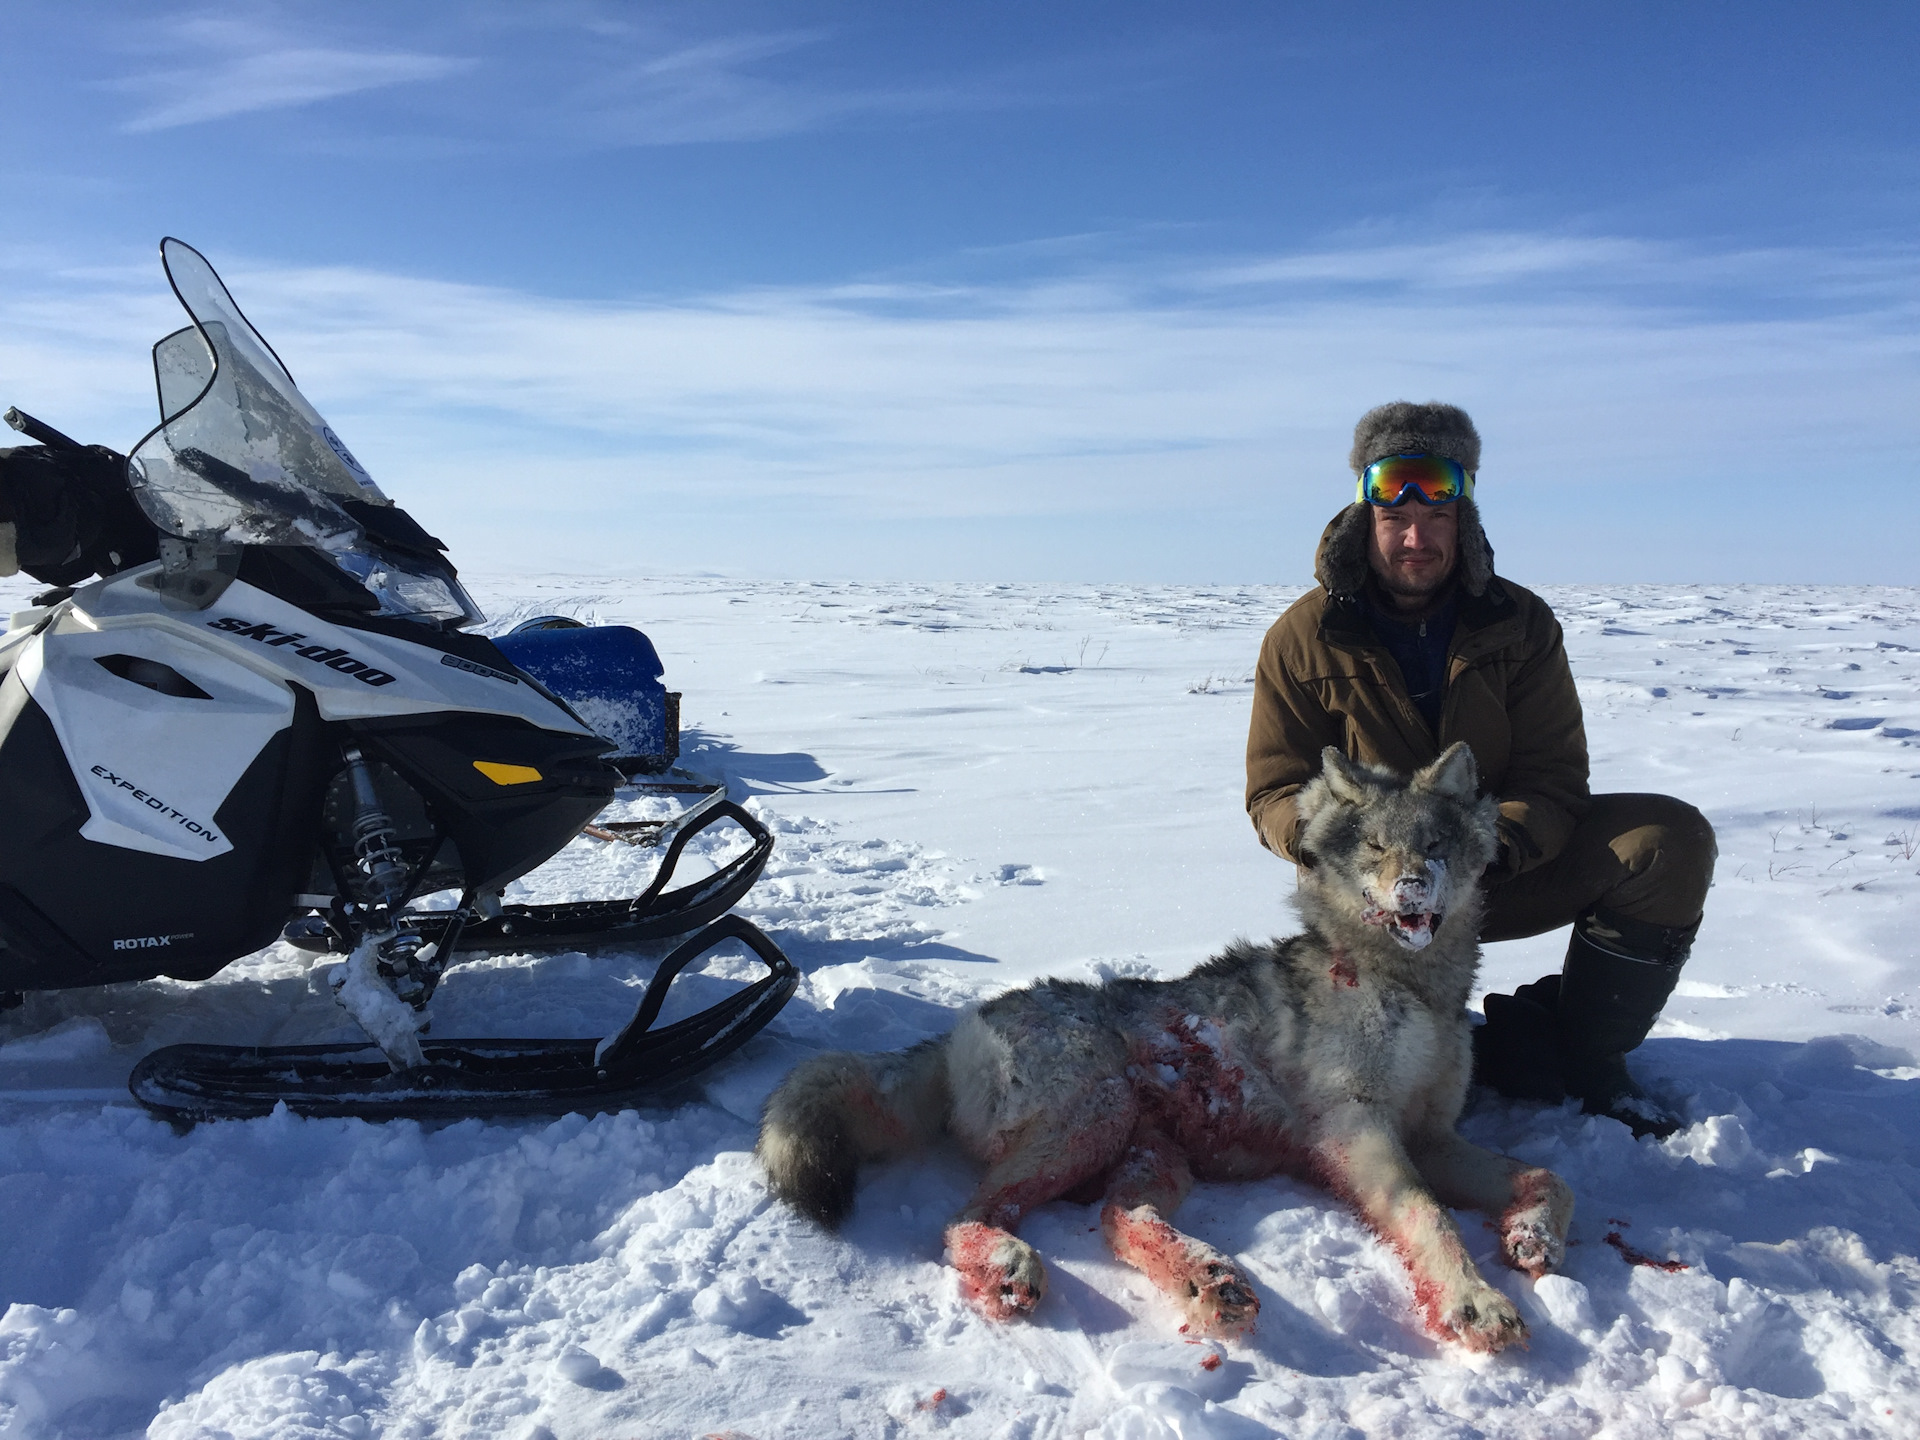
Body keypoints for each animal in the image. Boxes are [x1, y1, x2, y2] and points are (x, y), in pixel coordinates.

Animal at [752, 744, 1574, 1351]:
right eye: (1376, 847)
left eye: (1434, 846)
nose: (1412, 887)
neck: (1409, 988)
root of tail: (957, 1031)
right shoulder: (1360, 1129)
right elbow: (1429, 1218)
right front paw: (1474, 1302)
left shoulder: (1430, 1133)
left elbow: (1548, 1177)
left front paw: (1531, 1237)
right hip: (1098, 1113)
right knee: (972, 1212)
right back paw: (1016, 1265)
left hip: (1153, 1150)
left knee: (1121, 1217)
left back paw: (1206, 1280)